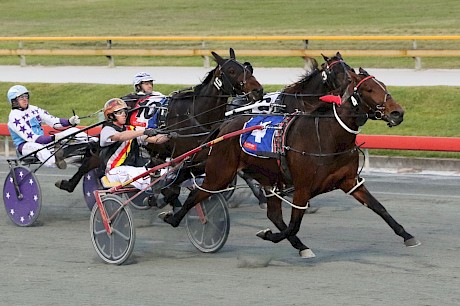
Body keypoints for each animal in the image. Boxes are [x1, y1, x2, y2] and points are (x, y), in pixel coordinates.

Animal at [54, 48, 262, 194]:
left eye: (246, 67)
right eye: (232, 70)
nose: (258, 90)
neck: (195, 112)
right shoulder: (181, 154)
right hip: (116, 136)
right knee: (94, 158)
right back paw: (68, 183)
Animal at [159, 67, 420, 258]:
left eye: (383, 86)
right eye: (368, 89)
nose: (397, 113)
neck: (328, 135)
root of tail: (224, 125)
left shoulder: (349, 181)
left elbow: (379, 207)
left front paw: (407, 235)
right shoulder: (302, 188)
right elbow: (294, 224)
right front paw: (269, 236)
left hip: (254, 173)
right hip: (221, 171)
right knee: (197, 192)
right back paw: (173, 215)